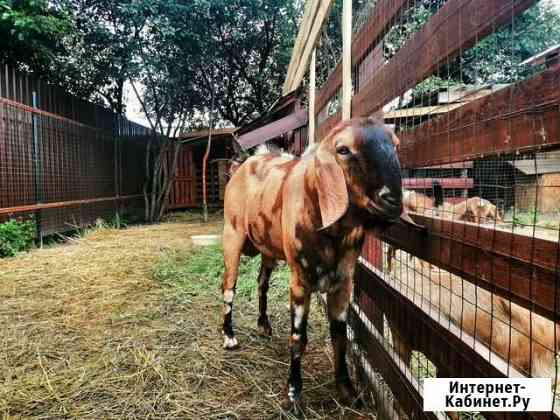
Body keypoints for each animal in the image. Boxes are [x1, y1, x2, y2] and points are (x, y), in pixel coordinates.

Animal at [220, 116, 416, 412]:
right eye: (343, 149)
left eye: (395, 144)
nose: (393, 200)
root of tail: (246, 163)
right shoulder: (300, 281)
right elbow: (297, 337)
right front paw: (293, 395)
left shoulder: (343, 283)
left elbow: (340, 337)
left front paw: (348, 391)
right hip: (232, 236)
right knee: (228, 287)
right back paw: (229, 335)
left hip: (268, 249)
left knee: (262, 283)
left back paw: (264, 325)